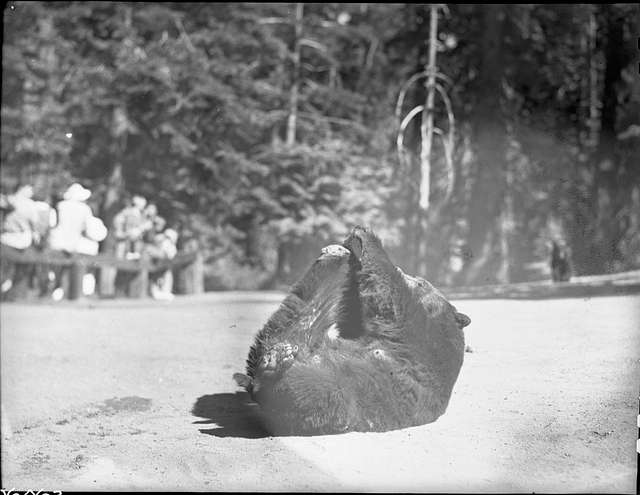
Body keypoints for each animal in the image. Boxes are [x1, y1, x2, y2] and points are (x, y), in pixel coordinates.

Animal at [232, 227, 468, 436]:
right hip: (297, 337)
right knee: (298, 311)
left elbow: (392, 301)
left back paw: (273, 366)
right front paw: (355, 249)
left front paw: (364, 236)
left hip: (335, 392)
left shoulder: (426, 339)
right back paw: (334, 254)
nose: (406, 271)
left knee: (301, 389)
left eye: (421, 282)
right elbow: (356, 314)